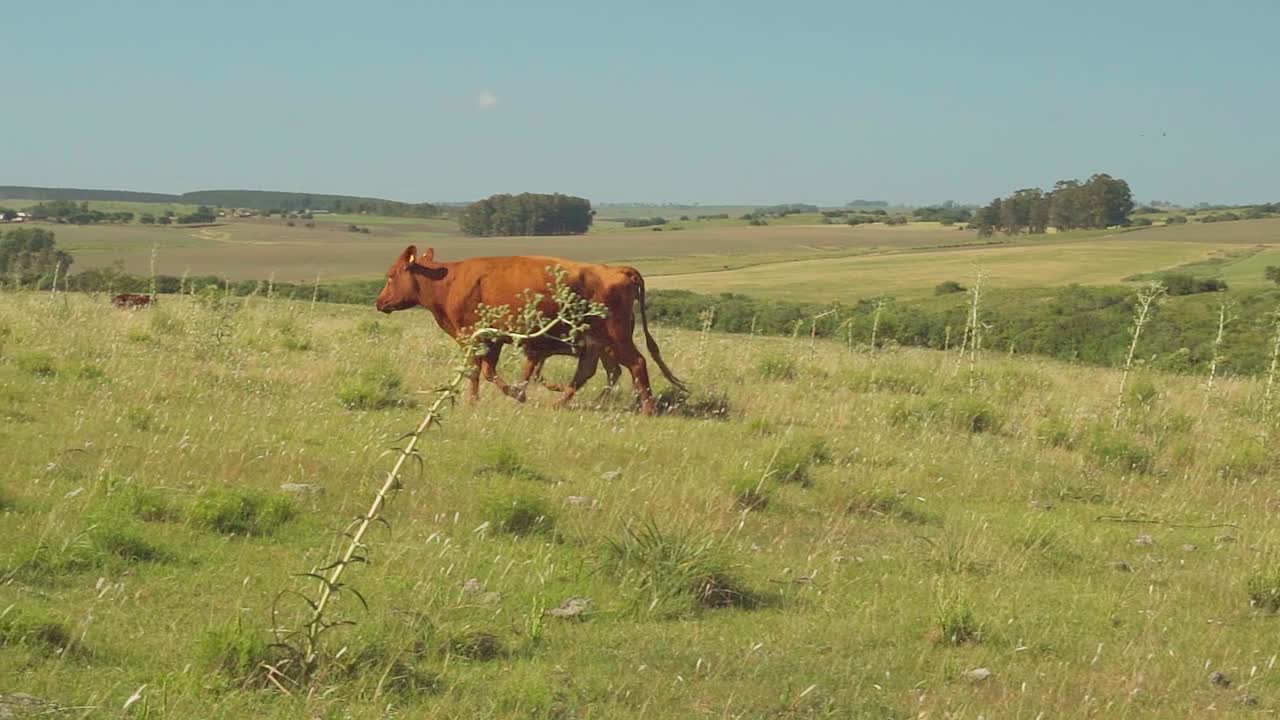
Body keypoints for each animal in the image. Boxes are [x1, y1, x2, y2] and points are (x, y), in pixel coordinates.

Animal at [374, 245, 684, 415]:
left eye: (391, 275)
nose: (379, 302)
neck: (449, 280)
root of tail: (618, 270)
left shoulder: (475, 337)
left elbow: (478, 371)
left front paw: (481, 400)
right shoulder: (494, 340)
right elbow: (488, 371)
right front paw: (512, 393)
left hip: (615, 338)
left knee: (636, 363)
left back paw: (647, 409)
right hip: (598, 342)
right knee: (595, 371)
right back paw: (565, 402)